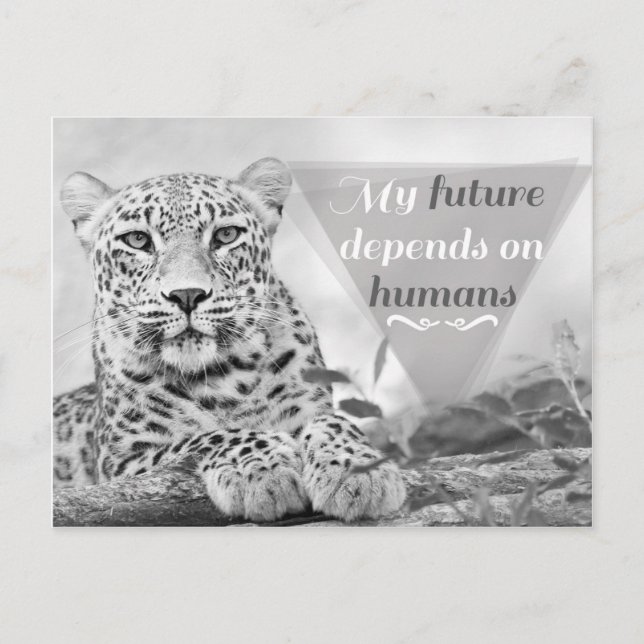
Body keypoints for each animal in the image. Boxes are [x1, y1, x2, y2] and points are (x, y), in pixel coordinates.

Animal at [53, 157, 406, 522]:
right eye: (137, 240)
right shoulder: (121, 462)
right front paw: (262, 471)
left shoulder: (310, 404)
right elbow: (206, 437)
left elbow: (335, 421)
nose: (187, 294)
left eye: (225, 235)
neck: (222, 379)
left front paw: (358, 470)